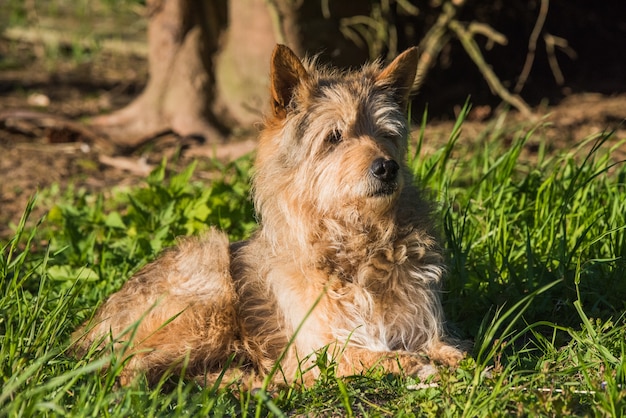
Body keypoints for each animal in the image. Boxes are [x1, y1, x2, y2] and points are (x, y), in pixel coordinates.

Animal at [73, 44, 464, 386]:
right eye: (334, 137)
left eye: (386, 134)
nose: (387, 168)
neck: (357, 241)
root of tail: (92, 325)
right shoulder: (318, 350)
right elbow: (376, 356)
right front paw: (418, 365)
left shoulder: (424, 328)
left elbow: (457, 352)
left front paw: (461, 365)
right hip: (209, 285)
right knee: (130, 368)